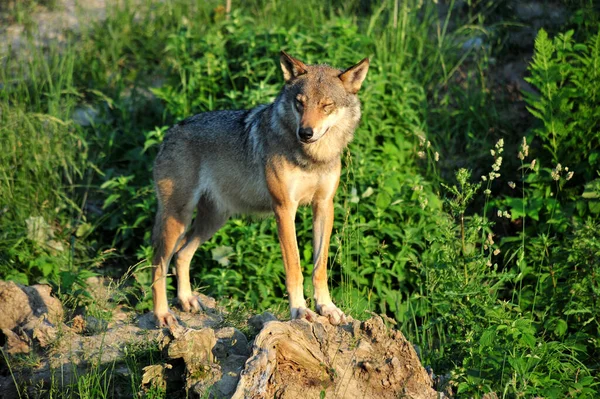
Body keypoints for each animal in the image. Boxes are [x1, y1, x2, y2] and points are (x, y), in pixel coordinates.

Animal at [150, 51, 368, 328]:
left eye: (326, 105)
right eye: (300, 103)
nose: (305, 132)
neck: (313, 158)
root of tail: (170, 132)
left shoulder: (324, 206)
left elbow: (319, 268)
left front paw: (327, 308)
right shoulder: (284, 209)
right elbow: (294, 268)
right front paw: (300, 310)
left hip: (213, 221)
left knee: (181, 255)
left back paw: (187, 300)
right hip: (178, 219)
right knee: (158, 263)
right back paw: (163, 314)